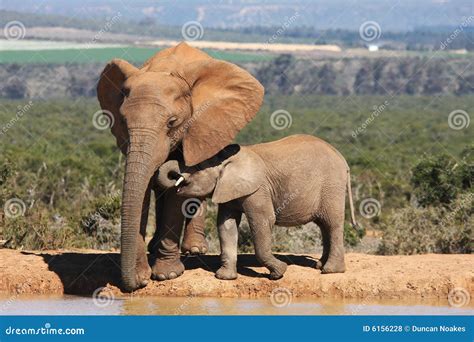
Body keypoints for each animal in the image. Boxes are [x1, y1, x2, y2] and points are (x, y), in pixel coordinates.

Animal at [96, 40, 264, 292]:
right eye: (123, 122)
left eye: (172, 123)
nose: (136, 283)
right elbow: (143, 189)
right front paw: (143, 274)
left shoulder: (197, 125)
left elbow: (177, 191)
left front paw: (167, 275)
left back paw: (195, 249)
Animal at [157, 134, 358, 280]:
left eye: (197, 167)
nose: (174, 174)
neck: (228, 157)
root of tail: (344, 161)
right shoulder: (229, 188)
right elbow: (226, 225)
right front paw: (225, 277)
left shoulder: (258, 189)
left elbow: (263, 221)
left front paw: (279, 273)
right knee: (323, 225)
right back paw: (320, 266)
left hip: (332, 185)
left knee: (332, 223)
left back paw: (330, 271)